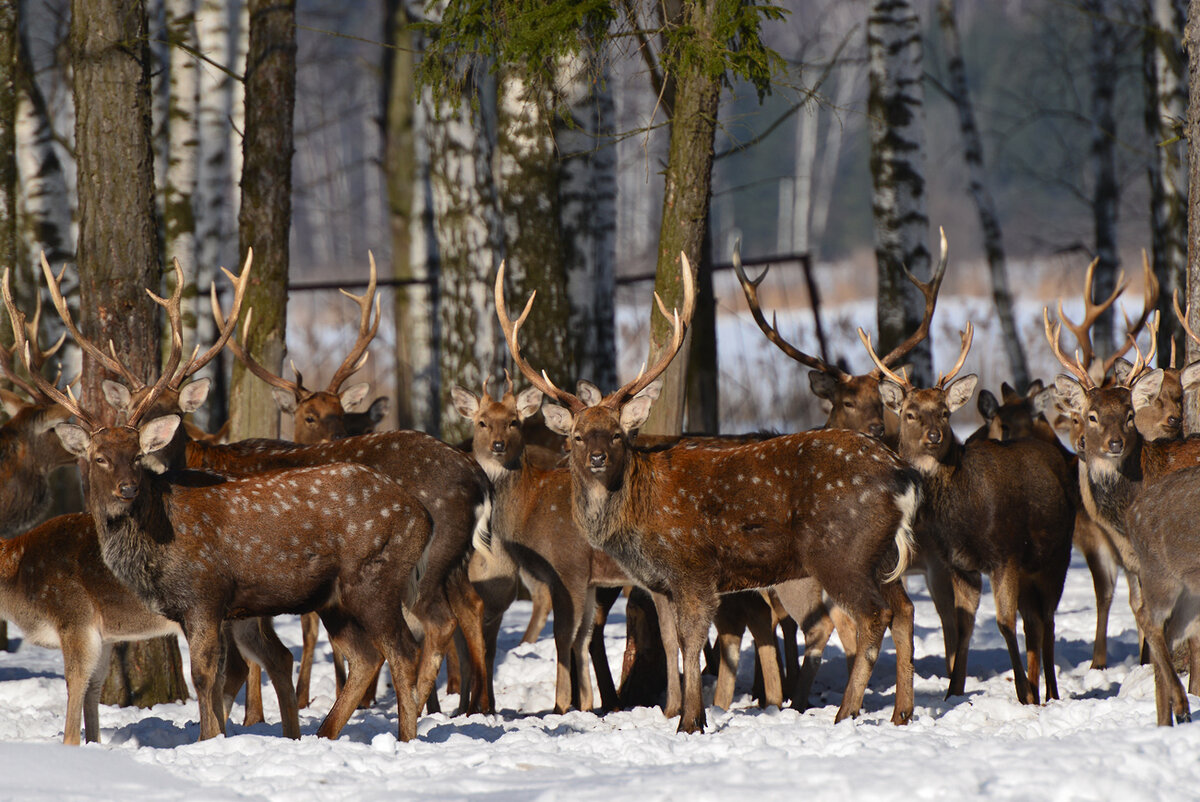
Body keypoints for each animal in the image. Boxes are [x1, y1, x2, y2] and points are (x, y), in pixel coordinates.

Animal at [4, 266, 436, 744]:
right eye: (99, 457)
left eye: (135, 453)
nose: (127, 489)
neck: (157, 549)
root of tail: (422, 515)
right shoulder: (192, 610)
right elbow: (211, 679)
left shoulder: (205, 596)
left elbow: (205, 676)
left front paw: (209, 740)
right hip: (335, 597)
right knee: (365, 656)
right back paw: (324, 733)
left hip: (376, 577)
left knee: (403, 650)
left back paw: (405, 738)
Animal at [496, 252, 916, 734]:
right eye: (577, 436)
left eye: (618, 434)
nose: (598, 458)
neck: (639, 510)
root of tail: (901, 475)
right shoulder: (661, 583)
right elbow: (674, 639)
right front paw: (685, 713)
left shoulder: (693, 568)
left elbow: (692, 639)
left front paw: (690, 721)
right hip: (881, 555)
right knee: (904, 610)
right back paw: (902, 713)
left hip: (840, 552)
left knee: (872, 616)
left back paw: (846, 713)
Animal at [864, 321, 1080, 705]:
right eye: (910, 413)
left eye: (944, 412)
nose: (935, 435)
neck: (962, 513)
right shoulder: (959, 564)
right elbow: (963, 625)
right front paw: (953, 692)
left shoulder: (1005, 554)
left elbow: (1003, 623)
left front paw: (1022, 694)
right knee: (1034, 619)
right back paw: (1039, 688)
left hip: (1057, 554)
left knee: (1048, 618)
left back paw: (1050, 693)